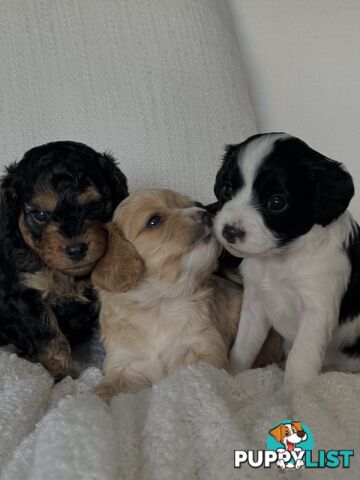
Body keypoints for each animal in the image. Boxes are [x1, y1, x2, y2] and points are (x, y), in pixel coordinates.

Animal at [0, 142, 128, 378]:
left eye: (95, 205)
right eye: (40, 215)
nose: (76, 249)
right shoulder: (26, 297)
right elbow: (51, 340)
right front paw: (62, 375)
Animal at [212, 132, 358, 386]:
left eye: (277, 202)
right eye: (227, 189)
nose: (230, 231)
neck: (280, 259)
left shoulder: (316, 312)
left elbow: (300, 360)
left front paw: (294, 392)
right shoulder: (255, 303)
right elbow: (243, 347)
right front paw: (234, 377)